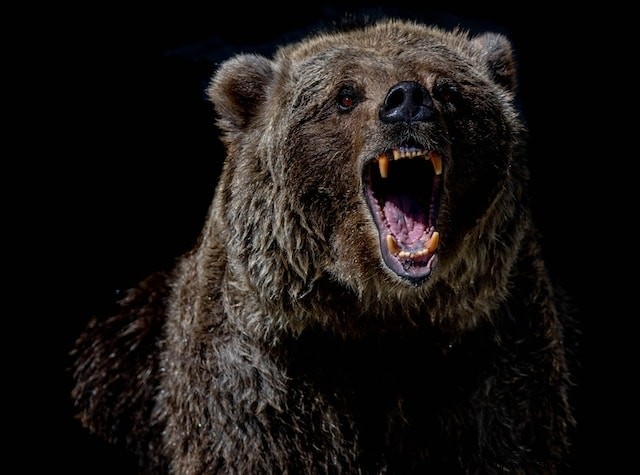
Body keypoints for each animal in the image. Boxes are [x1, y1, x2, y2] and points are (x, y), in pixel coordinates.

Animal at [70, 17, 578, 474]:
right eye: (345, 95)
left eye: (449, 91)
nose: (408, 100)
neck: (376, 316)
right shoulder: (262, 382)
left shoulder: (490, 363)